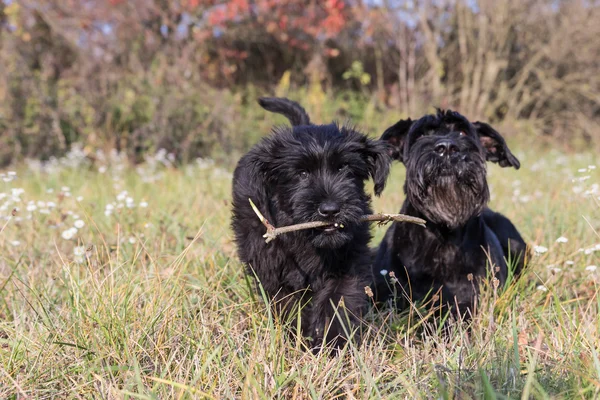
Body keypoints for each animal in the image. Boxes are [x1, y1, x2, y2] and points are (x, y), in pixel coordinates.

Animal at [230, 97, 390, 350]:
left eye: (343, 168)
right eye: (302, 173)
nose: (330, 210)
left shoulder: (349, 261)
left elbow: (339, 299)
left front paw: (332, 341)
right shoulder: (273, 268)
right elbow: (287, 303)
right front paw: (300, 336)